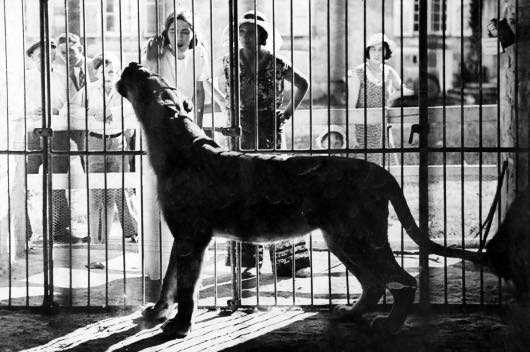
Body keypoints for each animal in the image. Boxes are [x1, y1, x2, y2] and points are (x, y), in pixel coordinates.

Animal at [115, 62, 482, 338]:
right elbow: (169, 280)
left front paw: (178, 326)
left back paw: (389, 325)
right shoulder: (182, 236)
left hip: (359, 237)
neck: (171, 140)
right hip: (341, 239)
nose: (133, 64)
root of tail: (378, 170)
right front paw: (157, 313)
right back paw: (350, 313)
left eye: (145, 75)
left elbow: (186, 286)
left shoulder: (193, 236)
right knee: (375, 284)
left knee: (403, 281)